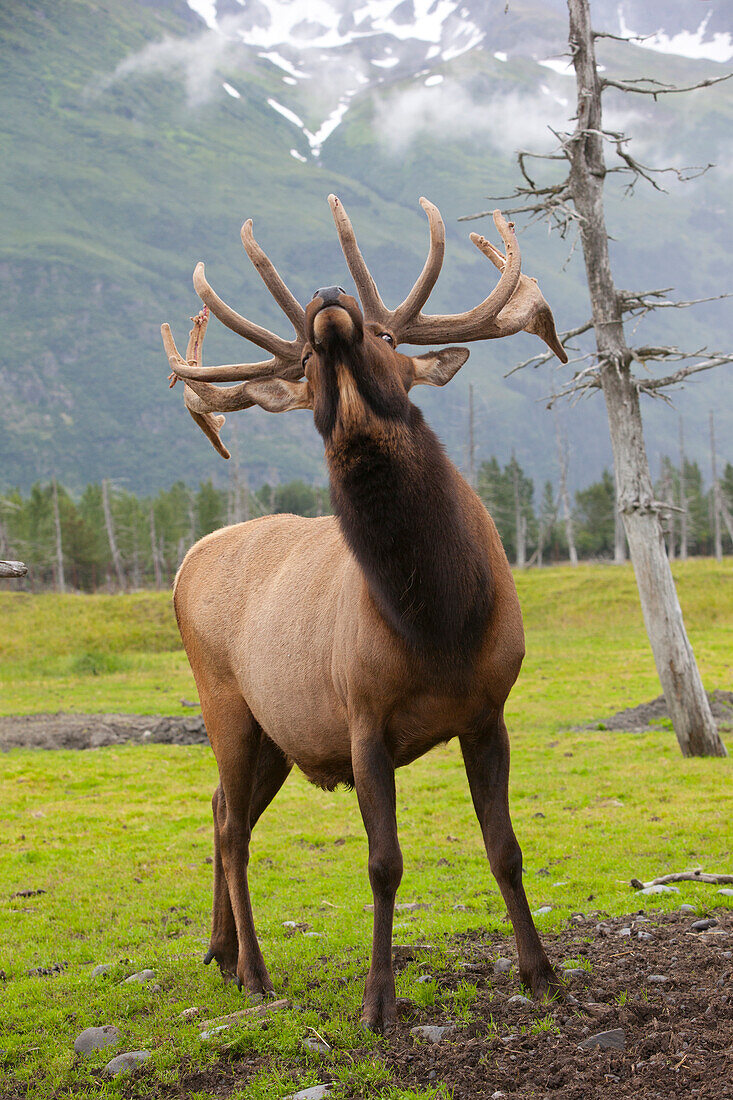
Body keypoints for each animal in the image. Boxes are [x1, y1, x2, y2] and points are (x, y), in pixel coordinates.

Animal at [162, 198, 567, 1029]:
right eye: (304, 366)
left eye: (387, 338)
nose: (327, 299)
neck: (438, 622)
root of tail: (185, 563)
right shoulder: (361, 719)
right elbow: (384, 863)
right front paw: (377, 1002)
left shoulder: (488, 711)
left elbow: (505, 848)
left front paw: (540, 973)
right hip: (224, 702)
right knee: (231, 828)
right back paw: (253, 971)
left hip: (274, 734)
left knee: (221, 809)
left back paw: (218, 951)